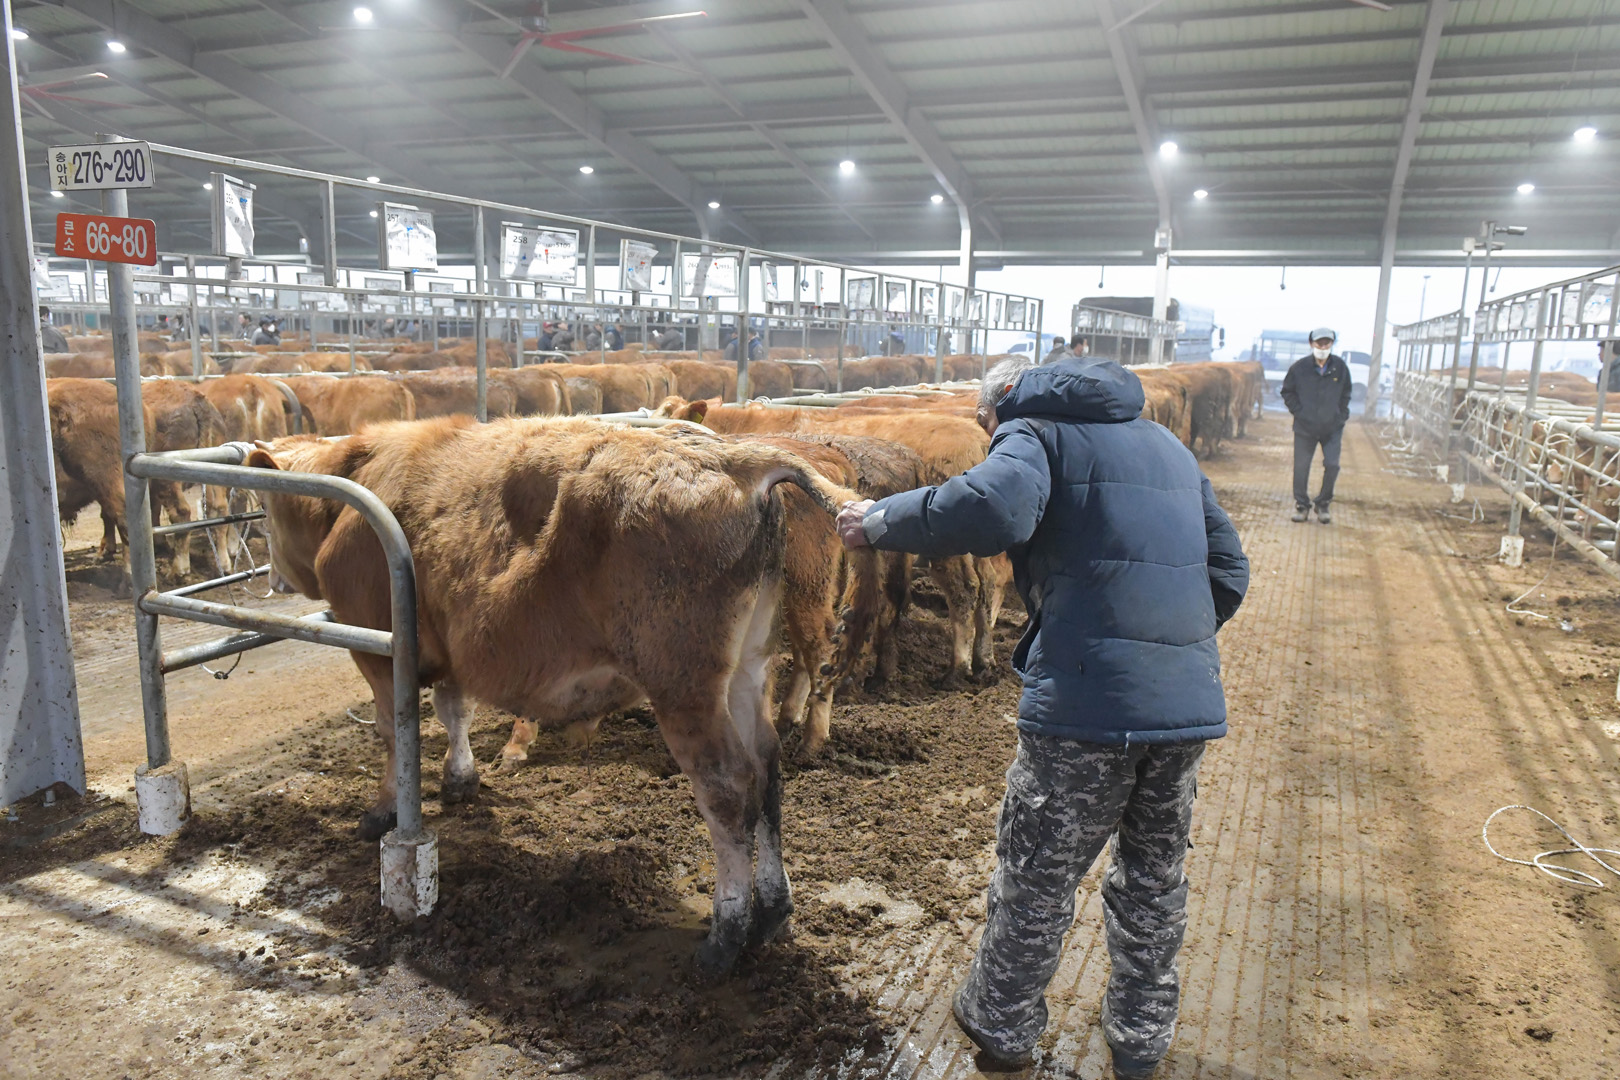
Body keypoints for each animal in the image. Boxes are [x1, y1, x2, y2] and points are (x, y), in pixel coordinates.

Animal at [247, 417, 861, 974]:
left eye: (266, 513)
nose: (272, 579)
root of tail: (738, 460)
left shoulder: (379, 647)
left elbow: (393, 732)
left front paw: (383, 811)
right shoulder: (452, 651)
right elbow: (453, 710)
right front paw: (460, 778)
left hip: (684, 684)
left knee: (729, 789)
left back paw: (726, 935)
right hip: (746, 669)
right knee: (767, 769)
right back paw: (773, 914)